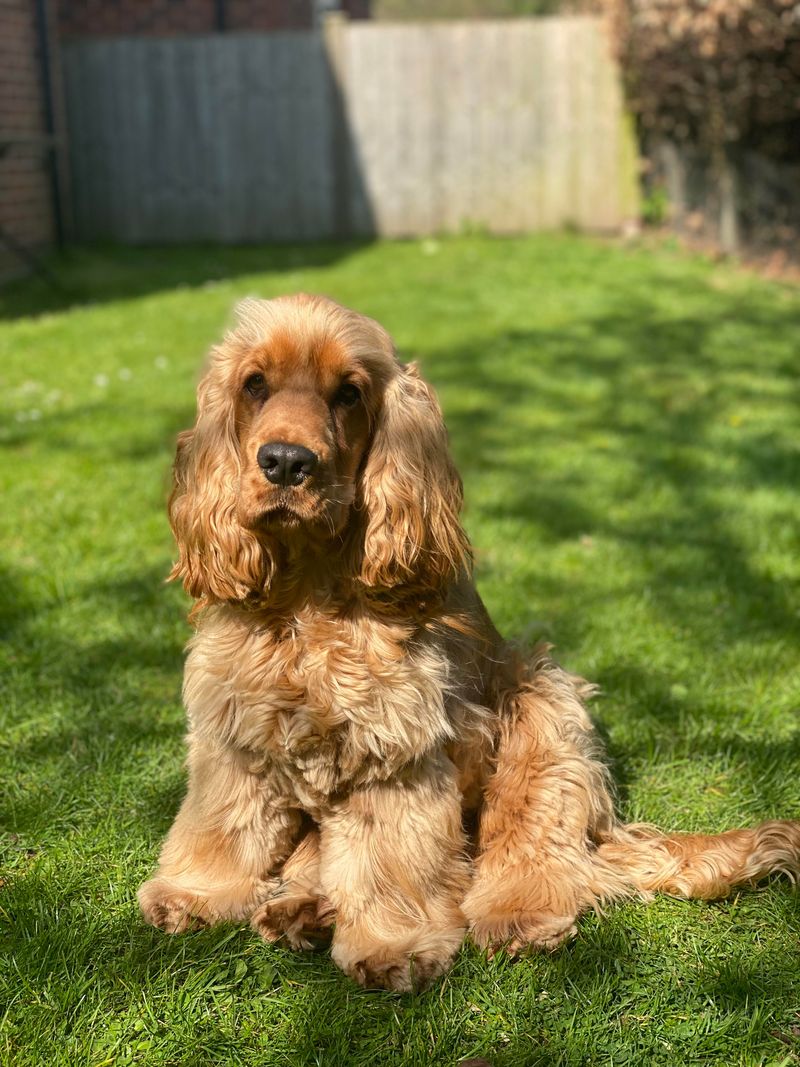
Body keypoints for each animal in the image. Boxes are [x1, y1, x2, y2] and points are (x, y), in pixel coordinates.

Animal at [140, 294, 800, 990]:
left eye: (349, 392)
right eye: (254, 385)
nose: (286, 462)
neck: (310, 593)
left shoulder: (396, 748)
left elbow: (389, 858)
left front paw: (392, 946)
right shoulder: (233, 730)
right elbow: (222, 821)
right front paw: (195, 894)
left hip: (543, 704)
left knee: (535, 852)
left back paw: (514, 914)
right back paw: (302, 911)